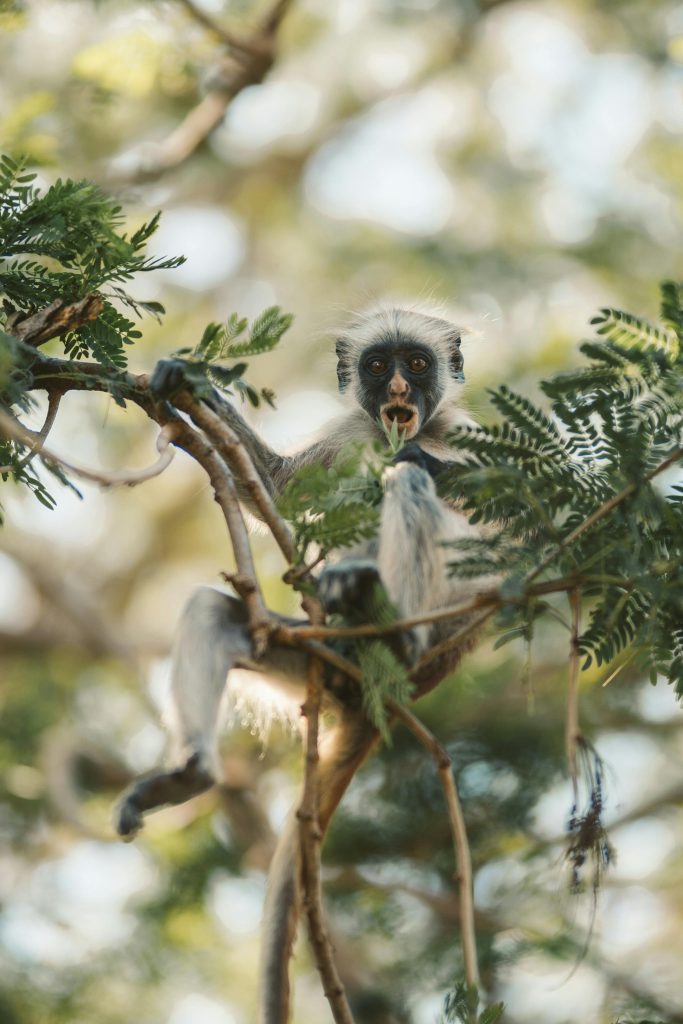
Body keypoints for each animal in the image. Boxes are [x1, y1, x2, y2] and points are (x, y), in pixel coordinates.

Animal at [115, 307, 489, 1024]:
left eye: (417, 364)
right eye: (377, 365)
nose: (397, 385)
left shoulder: (468, 436)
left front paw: (420, 459)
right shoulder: (350, 434)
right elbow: (277, 491)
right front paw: (191, 388)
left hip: (438, 632)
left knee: (413, 490)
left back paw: (388, 613)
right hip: (315, 653)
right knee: (215, 613)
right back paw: (189, 775)